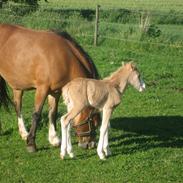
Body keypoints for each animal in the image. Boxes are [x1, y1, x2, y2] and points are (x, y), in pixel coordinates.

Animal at [0, 23, 100, 152]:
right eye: (93, 121)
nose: (90, 144)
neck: (64, 58)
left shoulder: (55, 92)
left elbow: (53, 113)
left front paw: (54, 139)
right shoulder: (42, 89)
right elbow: (36, 114)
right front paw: (31, 143)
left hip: (18, 85)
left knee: (18, 106)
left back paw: (23, 133)